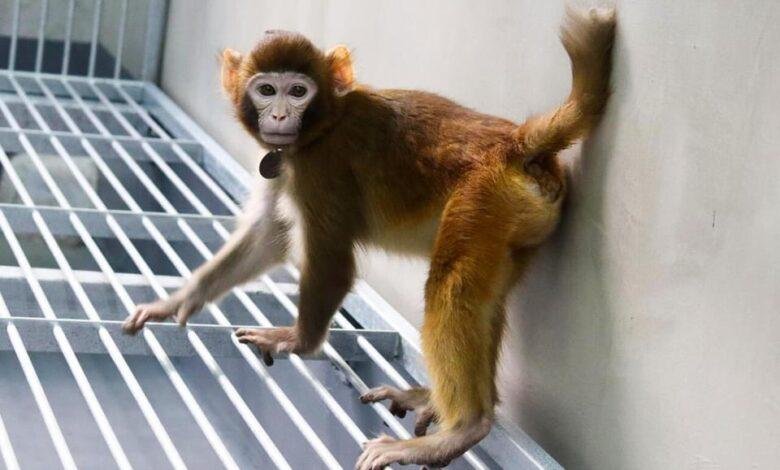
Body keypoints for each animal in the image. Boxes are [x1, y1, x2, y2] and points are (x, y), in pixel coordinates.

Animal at [123, 6, 616, 469]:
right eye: (266, 90)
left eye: (297, 91)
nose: (279, 114)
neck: (324, 124)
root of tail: (516, 144)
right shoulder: (286, 163)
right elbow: (268, 236)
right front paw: (178, 300)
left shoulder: (323, 169)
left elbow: (333, 264)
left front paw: (300, 341)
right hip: (515, 220)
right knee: (483, 298)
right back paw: (446, 402)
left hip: (483, 198)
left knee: (451, 287)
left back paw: (462, 428)